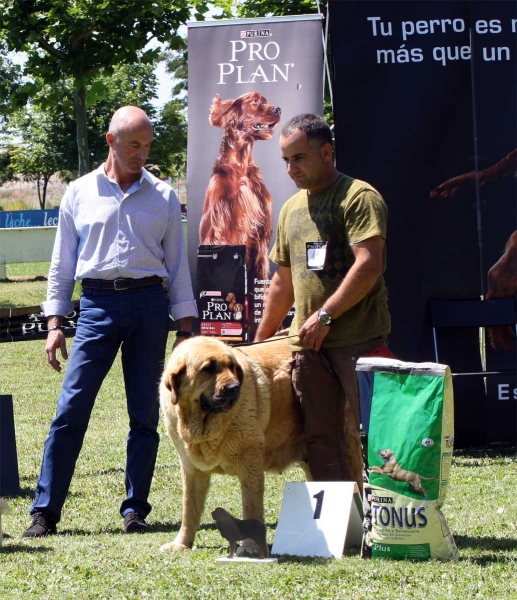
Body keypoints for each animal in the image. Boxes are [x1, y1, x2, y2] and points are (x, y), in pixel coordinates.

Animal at [199, 92, 280, 280]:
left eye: (266, 101)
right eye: (255, 101)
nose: (278, 109)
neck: (240, 166)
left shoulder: (261, 236)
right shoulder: (228, 230)